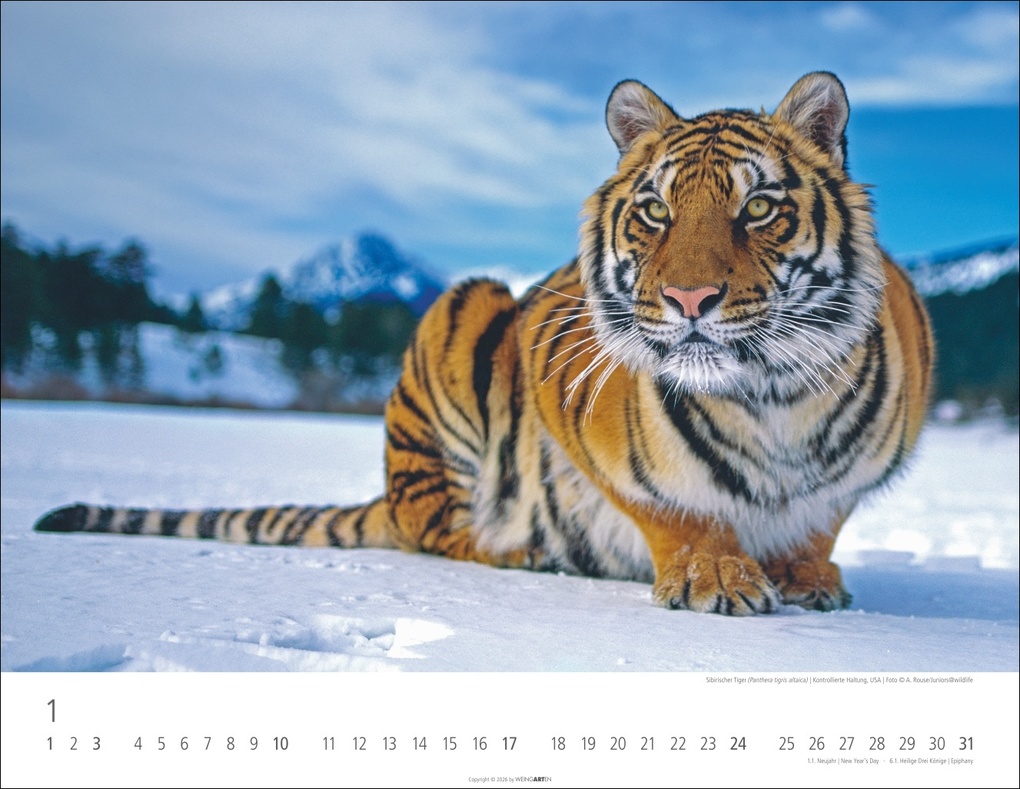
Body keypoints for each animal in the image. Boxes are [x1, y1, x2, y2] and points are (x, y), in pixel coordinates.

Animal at [35, 72, 933, 615]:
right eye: (655, 211)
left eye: (758, 209)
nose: (688, 299)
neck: (773, 394)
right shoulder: (567, 385)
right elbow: (671, 504)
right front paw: (714, 576)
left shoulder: (855, 474)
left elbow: (822, 520)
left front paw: (809, 576)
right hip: (463, 316)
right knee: (440, 528)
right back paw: (522, 551)